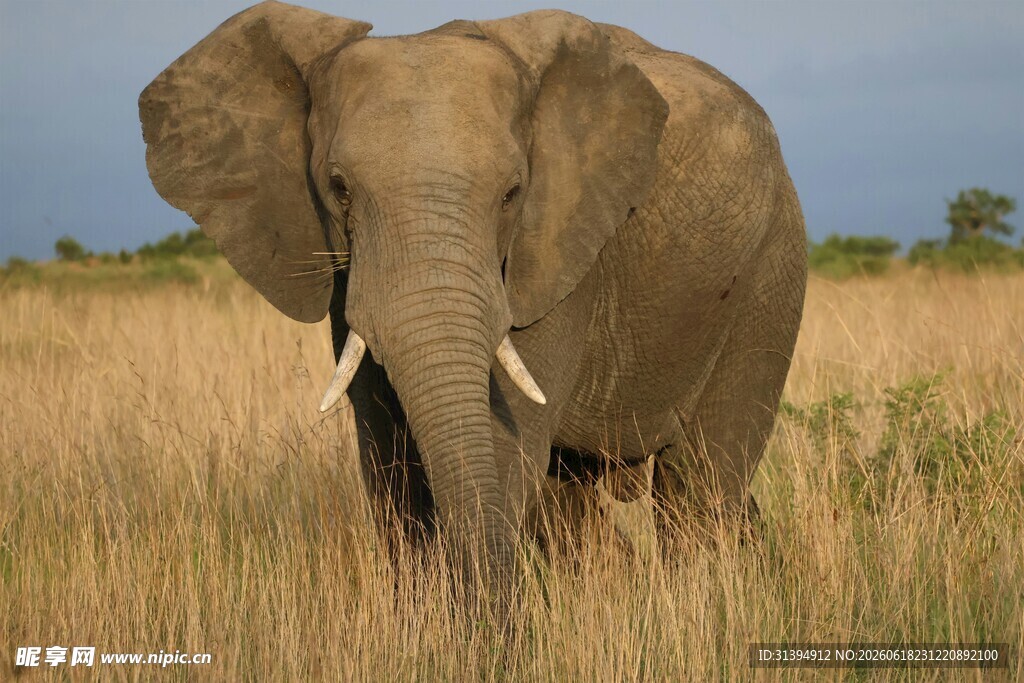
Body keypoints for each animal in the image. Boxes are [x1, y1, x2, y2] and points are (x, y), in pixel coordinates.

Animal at [139, 1, 807, 595]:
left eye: (512, 193)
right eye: (338, 188)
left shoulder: (558, 250)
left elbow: (504, 444)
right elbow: (388, 454)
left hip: (771, 268)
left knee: (699, 488)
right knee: (579, 504)